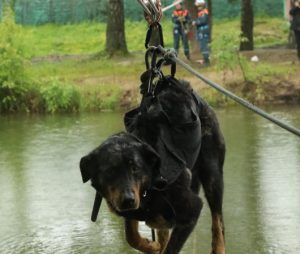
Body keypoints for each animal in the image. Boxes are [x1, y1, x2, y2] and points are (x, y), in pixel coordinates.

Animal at [79, 73, 225, 254]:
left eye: (135, 168)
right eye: (109, 171)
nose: (128, 199)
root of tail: (187, 88)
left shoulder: (192, 210)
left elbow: (170, 248)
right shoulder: (133, 209)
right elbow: (130, 235)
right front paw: (150, 245)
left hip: (212, 174)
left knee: (218, 222)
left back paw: (218, 247)